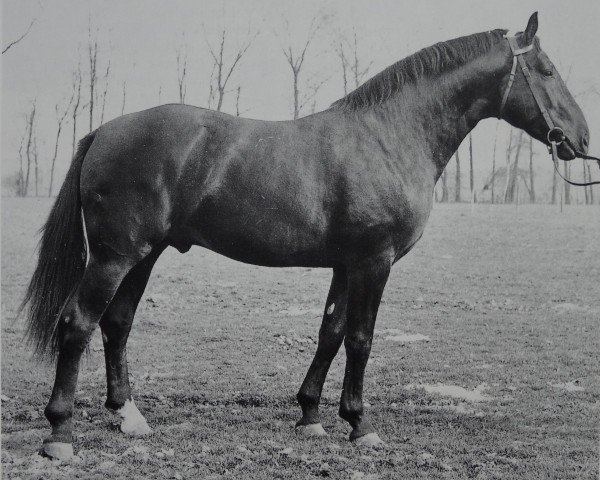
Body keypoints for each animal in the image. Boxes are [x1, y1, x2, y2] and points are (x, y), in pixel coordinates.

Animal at [21, 12, 588, 462]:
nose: (581, 139)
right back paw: (60, 433)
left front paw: (311, 416)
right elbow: (361, 338)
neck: (388, 136)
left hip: (143, 255)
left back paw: (129, 417)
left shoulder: (346, 264)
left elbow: (330, 333)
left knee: (117, 323)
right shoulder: (374, 262)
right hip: (114, 257)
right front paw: (360, 425)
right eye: (547, 71)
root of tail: (104, 131)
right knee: (78, 323)